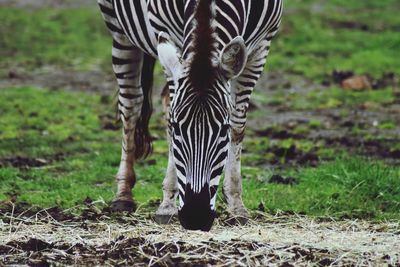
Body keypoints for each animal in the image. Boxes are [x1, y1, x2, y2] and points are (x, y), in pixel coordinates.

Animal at [98, 0, 282, 231]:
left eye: (223, 129)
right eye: (178, 128)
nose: (196, 217)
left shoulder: (262, 44)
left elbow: (238, 126)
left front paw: (236, 205)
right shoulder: (166, 30)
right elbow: (169, 120)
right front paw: (167, 205)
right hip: (118, 27)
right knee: (131, 103)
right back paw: (124, 195)